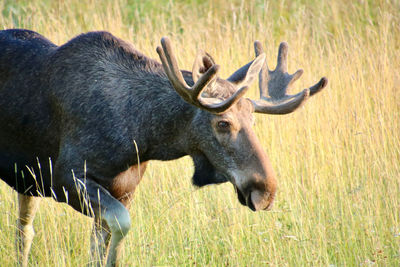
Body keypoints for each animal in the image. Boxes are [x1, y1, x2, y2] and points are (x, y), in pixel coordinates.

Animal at [0, 28, 326, 266]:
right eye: (223, 123)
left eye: (253, 120)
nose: (266, 191)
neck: (143, 135)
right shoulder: (66, 176)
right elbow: (121, 225)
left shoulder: (125, 190)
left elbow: (103, 248)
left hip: (27, 183)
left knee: (23, 231)